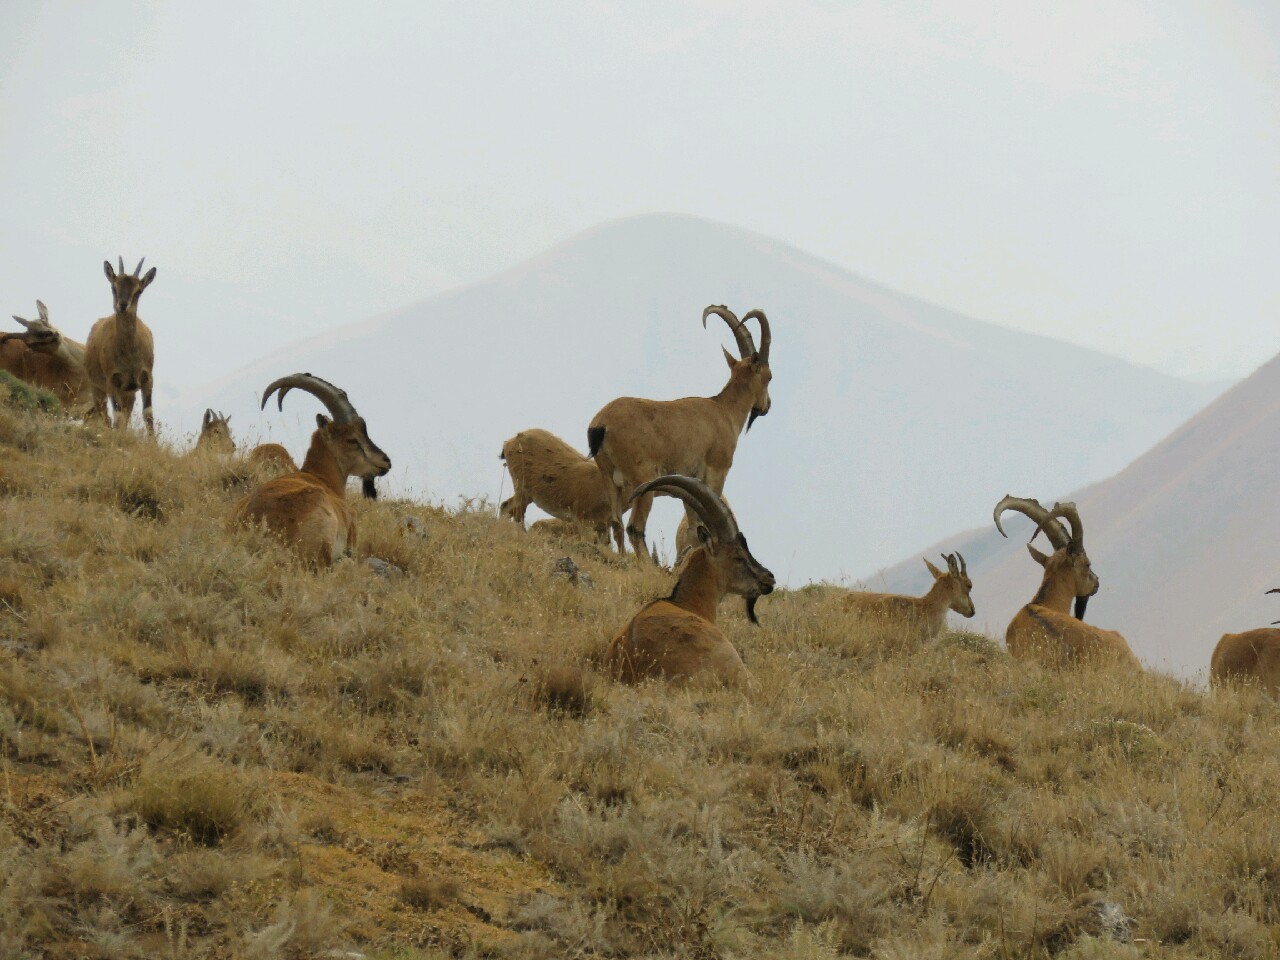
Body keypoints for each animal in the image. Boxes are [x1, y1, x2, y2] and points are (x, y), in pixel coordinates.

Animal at [85, 257, 156, 435]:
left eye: (139, 291)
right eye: (114, 287)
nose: (122, 305)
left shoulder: (147, 379)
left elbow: (148, 415)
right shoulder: (112, 380)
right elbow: (117, 417)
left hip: (128, 392)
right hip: (97, 388)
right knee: (105, 415)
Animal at [586, 304, 768, 560]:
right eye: (769, 376)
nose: (766, 406)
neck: (724, 410)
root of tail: (601, 425)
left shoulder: (691, 484)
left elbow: (694, 527)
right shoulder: (715, 472)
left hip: (610, 478)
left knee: (616, 523)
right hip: (643, 481)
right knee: (634, 527)